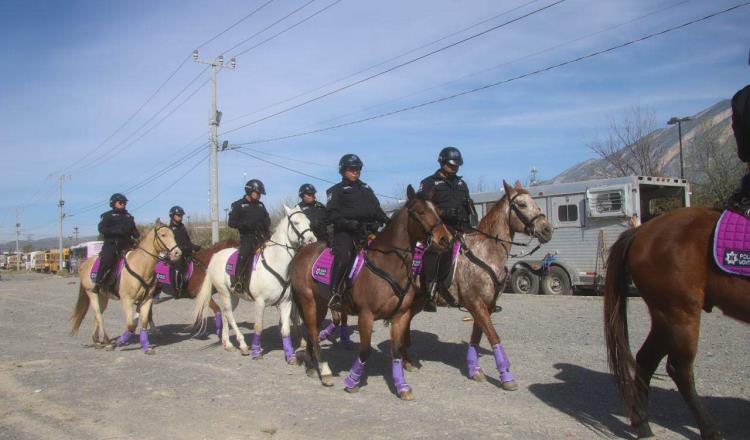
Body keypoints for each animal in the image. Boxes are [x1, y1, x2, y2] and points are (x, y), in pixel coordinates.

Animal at [70, 219, 182, 354]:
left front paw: (146, 346)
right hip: (92, 293)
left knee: (97, 316)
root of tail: (84, 264)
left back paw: (96, 341)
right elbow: (131, 324)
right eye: (163, 235)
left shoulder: (147, 299)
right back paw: (107, 342)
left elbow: (143, 321)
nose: (177, 252)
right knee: (99, 315)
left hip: (103, 297)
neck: (140, 266)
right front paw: (121, 341)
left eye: (173, 235)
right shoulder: (127, 300)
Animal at [192, 205, 318, 360]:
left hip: (233, 296)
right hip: (224, 293)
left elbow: (286, 328)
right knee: (229, 315)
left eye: (308, 222)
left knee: (226, 314)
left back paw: (227, 343)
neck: (276, 262)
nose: (312, 240)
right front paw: (256, 352)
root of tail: (215, 256)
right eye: (295, 222)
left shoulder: (286, 302)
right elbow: (258, 326)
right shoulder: (260, 302)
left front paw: (290, 355)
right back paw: (243, 345)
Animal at [288, 186, 452, 398]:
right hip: (307, 301)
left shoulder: (400, 315)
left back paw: (310, 366)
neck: (388, 264)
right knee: (314, 333)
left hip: (320, 305)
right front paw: (352, 381)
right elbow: (365, 350)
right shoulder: (366, 315)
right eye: (421, 212)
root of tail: (300, 253)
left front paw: (401, 386)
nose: (445, 239)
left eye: (438, 211)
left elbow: (396, 350)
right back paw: (325, 372)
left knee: (311, 331)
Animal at [402, 180, 556, 390]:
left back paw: (406, 360)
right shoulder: (475, 303)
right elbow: (493, 336)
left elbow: (477, 336)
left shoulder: (486, 305)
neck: (485, 253)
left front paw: (475, 370)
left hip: (416, 302)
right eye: (522, 204)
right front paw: (506, 375)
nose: (547, 230)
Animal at [604, 207, 750, 440]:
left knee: (646, 359)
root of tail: (641, 231)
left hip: (665, 317)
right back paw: (710, 430)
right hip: (679, 313)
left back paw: (643, 425)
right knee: (679, 368)